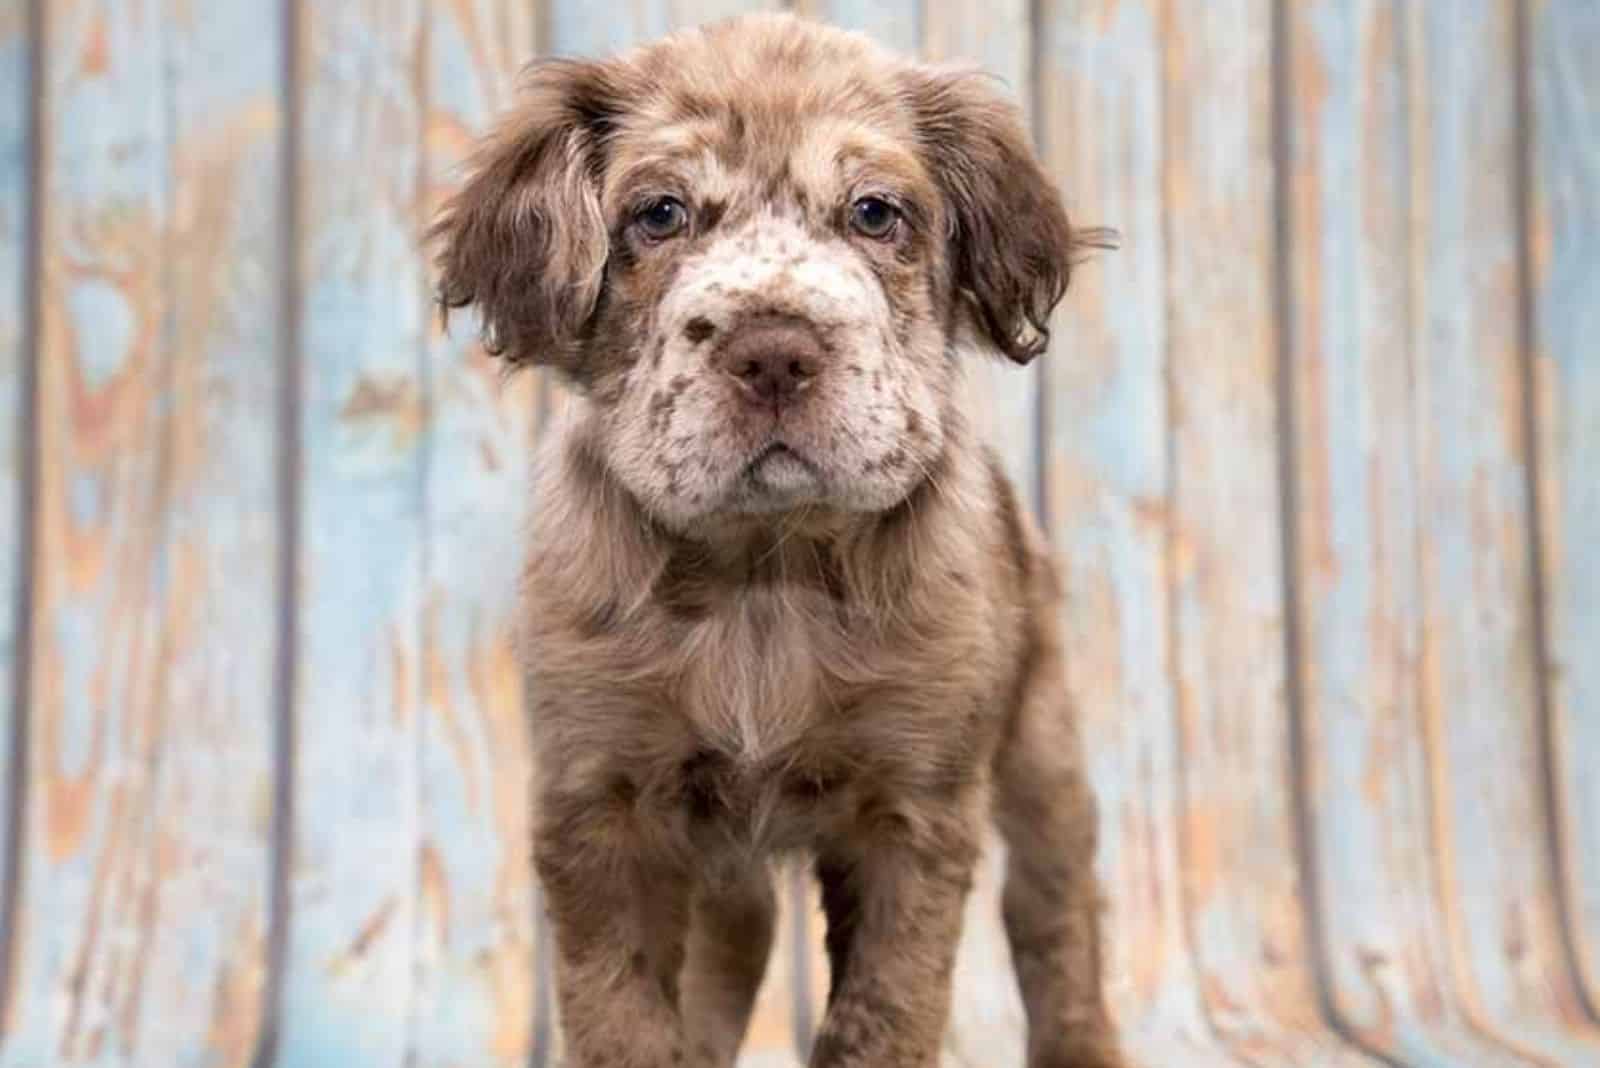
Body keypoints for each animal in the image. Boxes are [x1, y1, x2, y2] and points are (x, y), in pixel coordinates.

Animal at [432, 10, 1120, 1068]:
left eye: (875, 213)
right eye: (660, 215)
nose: (774, 354)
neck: (764, 569)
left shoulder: (913, 811)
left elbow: (881, 1015)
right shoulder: (599, 802)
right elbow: (622, 1013)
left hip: (1041, 739)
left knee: (1056, 917)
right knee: (735, 939)